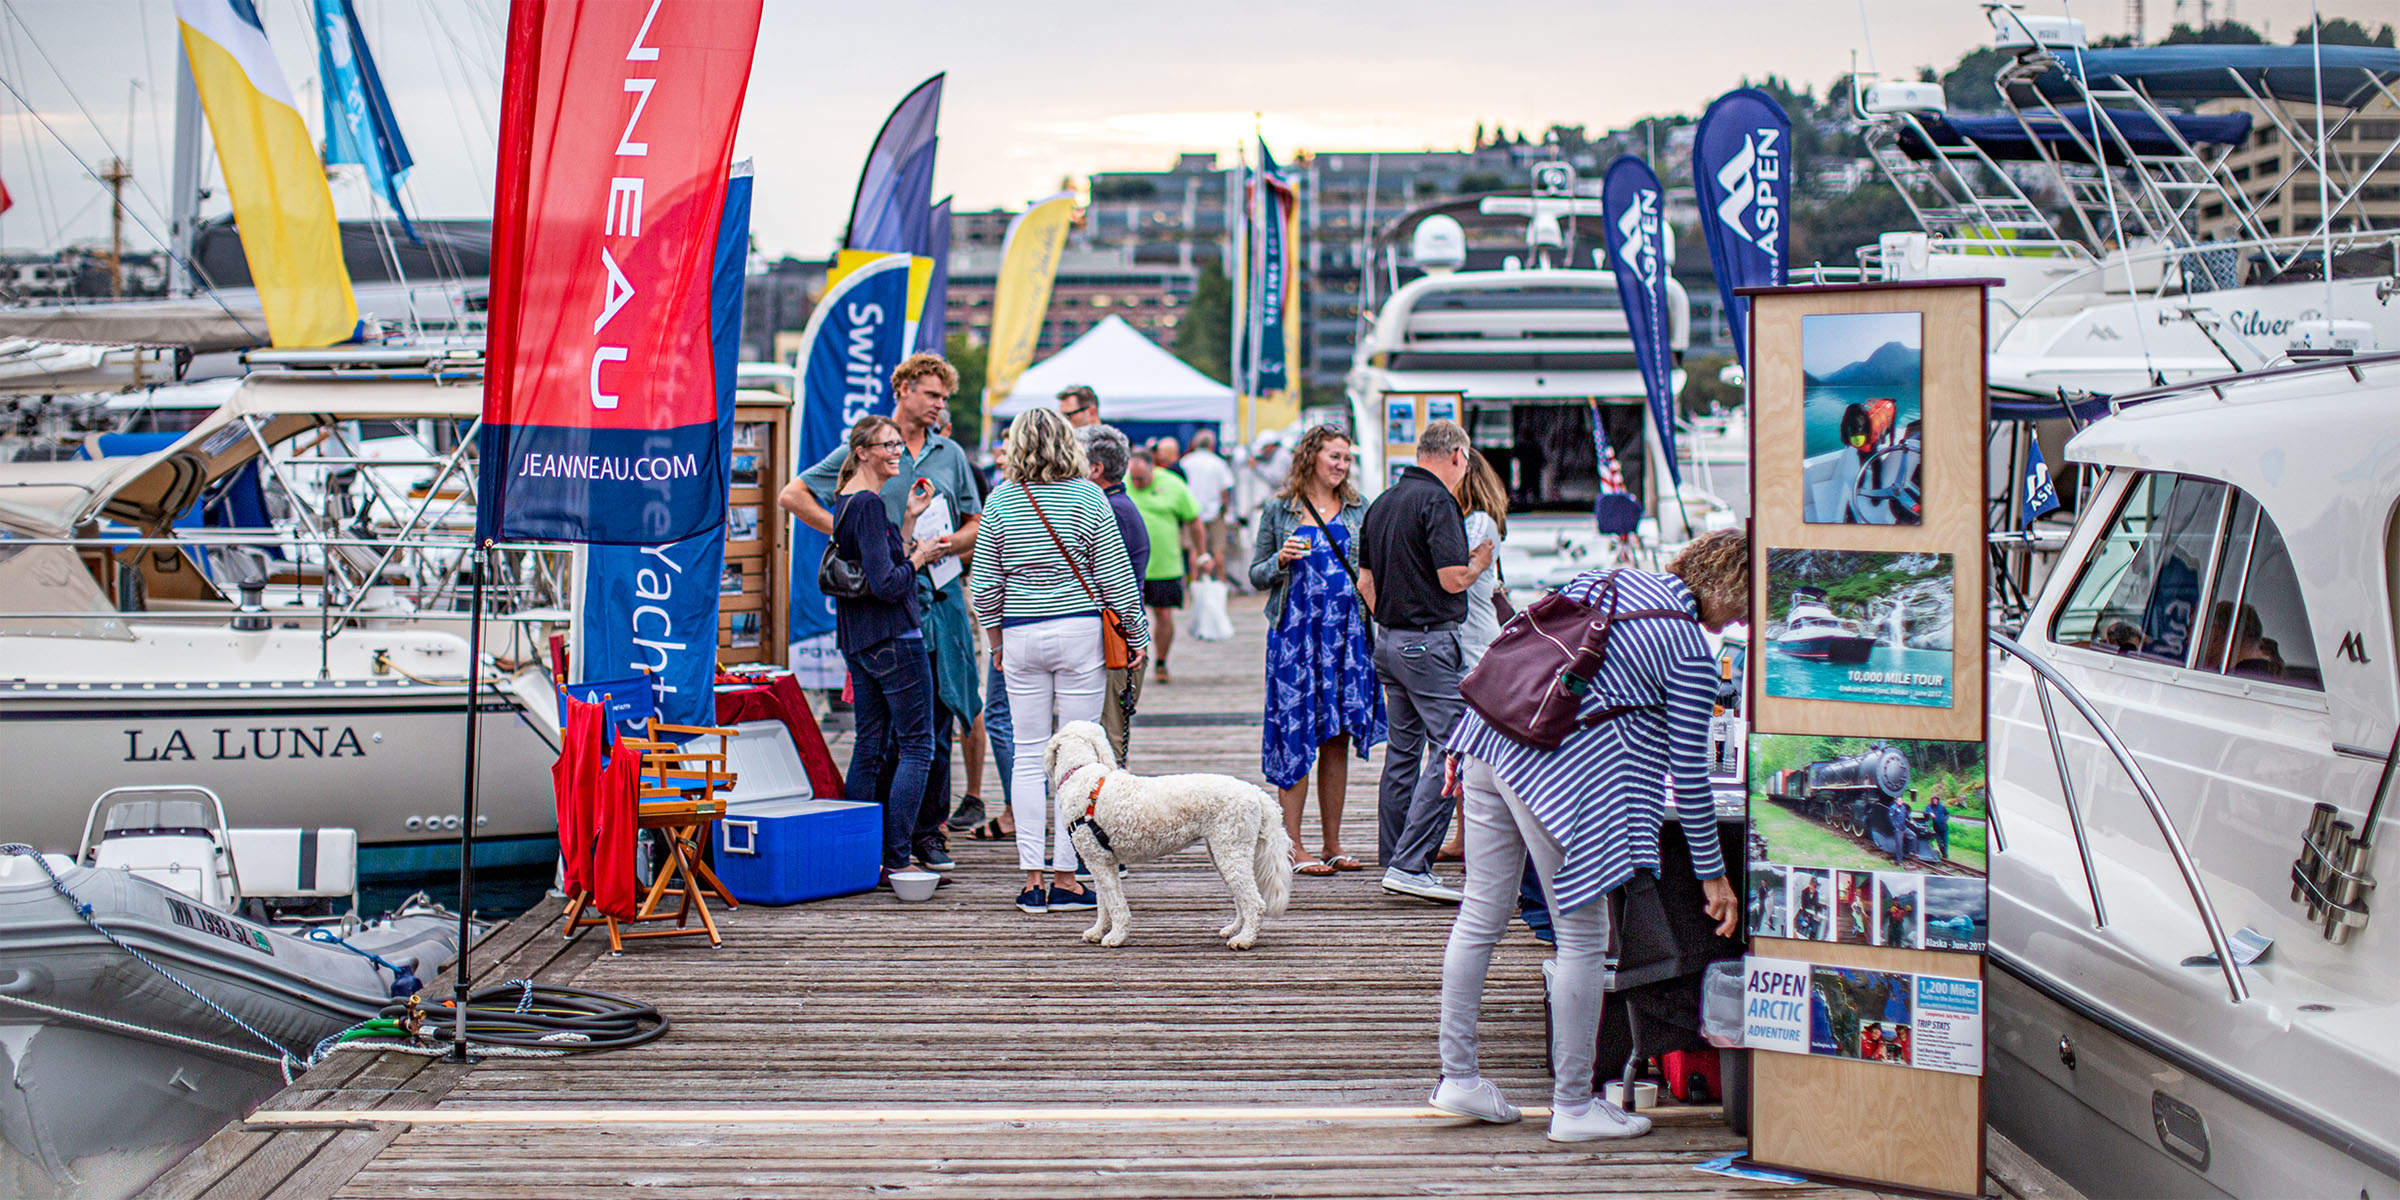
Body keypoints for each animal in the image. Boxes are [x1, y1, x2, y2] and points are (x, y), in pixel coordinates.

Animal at [1041, 715, 1286, 950]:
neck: (1081, 773)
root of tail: (1255, 791)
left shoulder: (1100, 862)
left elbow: (1117, 905)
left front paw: (1116, 937)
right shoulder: (1100, 861)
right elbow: (1104, 904)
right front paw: (1097, 932)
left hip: (1231, 849)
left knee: (1254, 902)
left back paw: (1244, 940)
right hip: (1222, 852)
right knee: (1241, 898)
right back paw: (1235, 930)